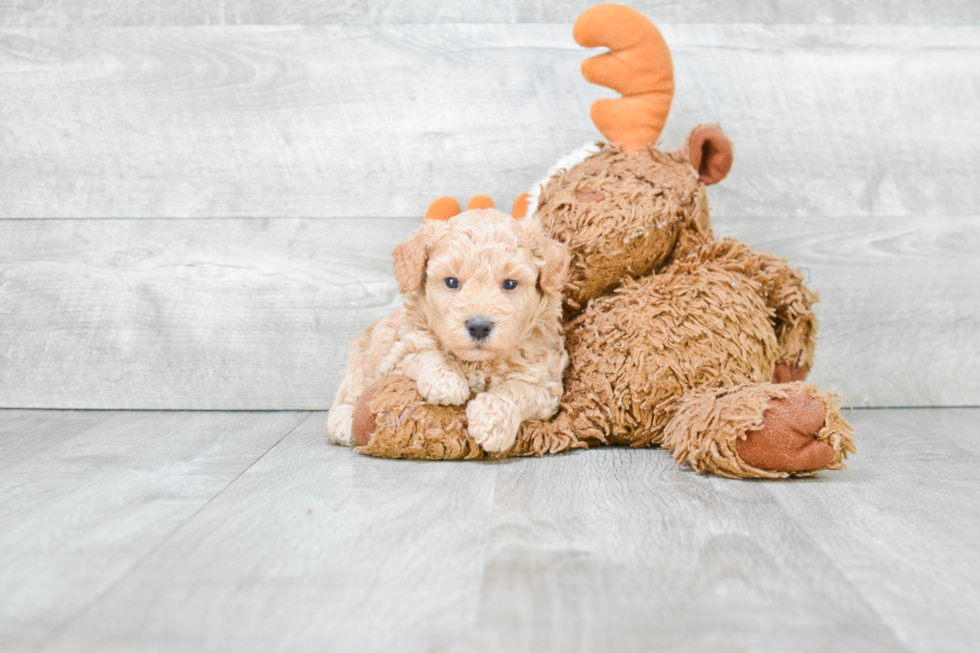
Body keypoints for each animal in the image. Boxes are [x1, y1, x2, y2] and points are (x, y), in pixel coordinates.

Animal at [328, 209, 572, 454]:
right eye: (452, 282)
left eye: (510, 284)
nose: (479, 326)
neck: (477, 363)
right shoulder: (398, 353)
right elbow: (425, 352)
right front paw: (445, 382)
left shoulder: (546, 382)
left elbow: (519, 389)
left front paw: (492, 421)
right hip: (366, 354)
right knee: (348, 393)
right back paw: (342, 423)